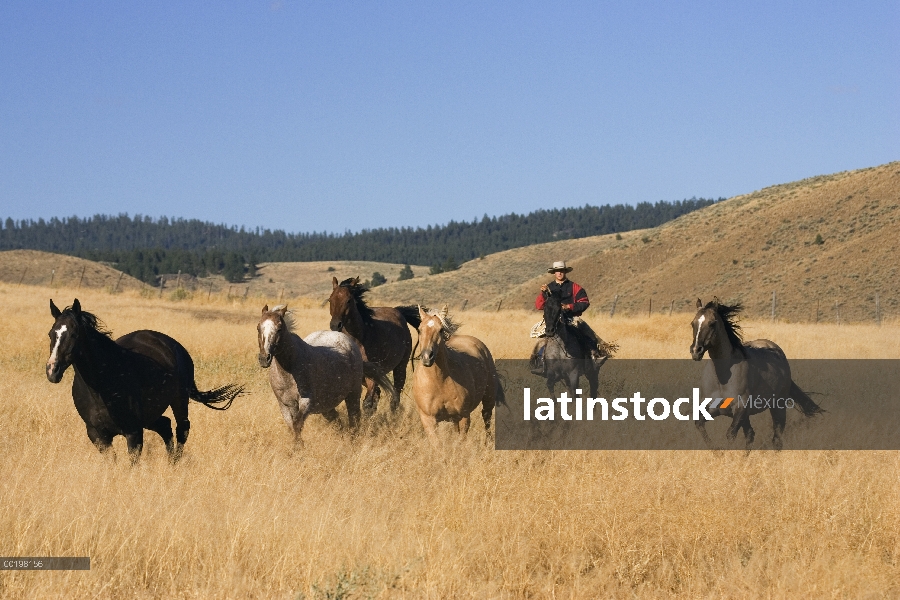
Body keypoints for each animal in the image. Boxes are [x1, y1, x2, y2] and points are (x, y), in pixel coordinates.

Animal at [45, 300, 243, 464]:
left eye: (74, 334)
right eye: (51, 334)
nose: (52, 371)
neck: (102, 386)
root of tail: (173, 345)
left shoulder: (133, 432)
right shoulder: (97, 434)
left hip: (179, 399)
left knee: (182, 428)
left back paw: (175, 465)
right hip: (150, 415)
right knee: (165, 426)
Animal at [255, 304, 392, 446]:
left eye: (279, 329)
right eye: (258, 327)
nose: (264, 358)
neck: (289, 370)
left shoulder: (306, 401)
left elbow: (297, 424)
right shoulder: (285, 405)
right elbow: (292, 427)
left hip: (353, 394)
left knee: (354, 418)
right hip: (326, 404)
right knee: (336, 419)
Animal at [326, 278, 422, 414]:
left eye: (349, 300)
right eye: (330, 300)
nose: (335, 325)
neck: (359, 339)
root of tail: (399, 312)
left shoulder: (373, 372)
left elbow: (367, 402)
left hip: (400, 367)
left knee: (395, 394)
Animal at [412, 308, 502, 442]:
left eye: (441, 330)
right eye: (419, 329)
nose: (427, 357)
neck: (440, 381)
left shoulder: (464, 416)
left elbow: (461, 440)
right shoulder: (428, 419)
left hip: (488, 399)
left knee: (487, 419)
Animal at [688, 298, 824, 448]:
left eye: (712, 323)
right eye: (693, 323)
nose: (696, 351)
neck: (722, 378)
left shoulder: (740, 409)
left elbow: (730, 434)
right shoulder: (713, 409)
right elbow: (700, 425)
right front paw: (717, 451)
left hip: (778, 406)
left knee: (777, 437)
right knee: (751, 435)